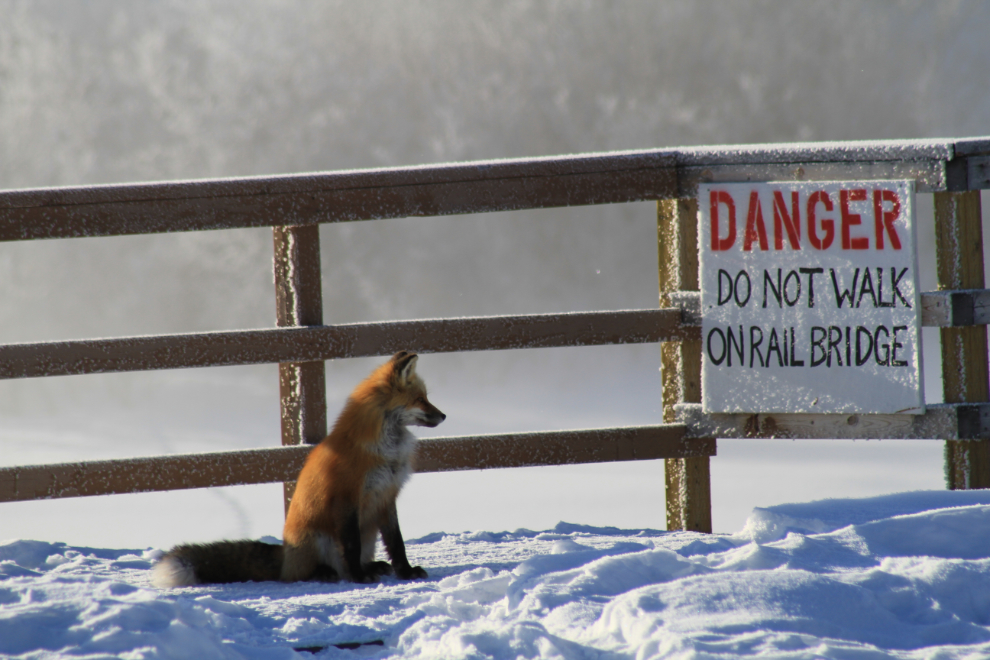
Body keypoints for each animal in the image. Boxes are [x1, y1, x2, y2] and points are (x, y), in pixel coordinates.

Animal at [151, 350, 446, 588]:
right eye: (420, 399)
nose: (444, 415)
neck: (386, 449)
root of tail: (284, 557)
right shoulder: (346, 498)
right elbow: (351, 546)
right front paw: (359, 578)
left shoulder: (386, 495)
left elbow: (397, 543)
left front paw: (405, 572)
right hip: (318, 538)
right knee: (309, 573)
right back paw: (328, 573)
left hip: (368, 534)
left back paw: (372, 566)